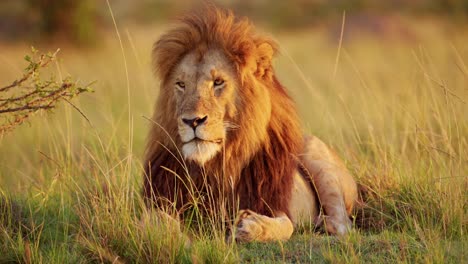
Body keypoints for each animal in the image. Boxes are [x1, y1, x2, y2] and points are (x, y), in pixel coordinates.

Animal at [144, 6, 358, 242]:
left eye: (218, 82)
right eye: (181, 84)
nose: (192, 120)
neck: (217, 165)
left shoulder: (272, 202)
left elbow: (286, 226)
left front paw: (250, 226)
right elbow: (154, 220)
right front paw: (175, 238)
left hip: (315, 153)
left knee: (344, 224)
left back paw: (324, 223)